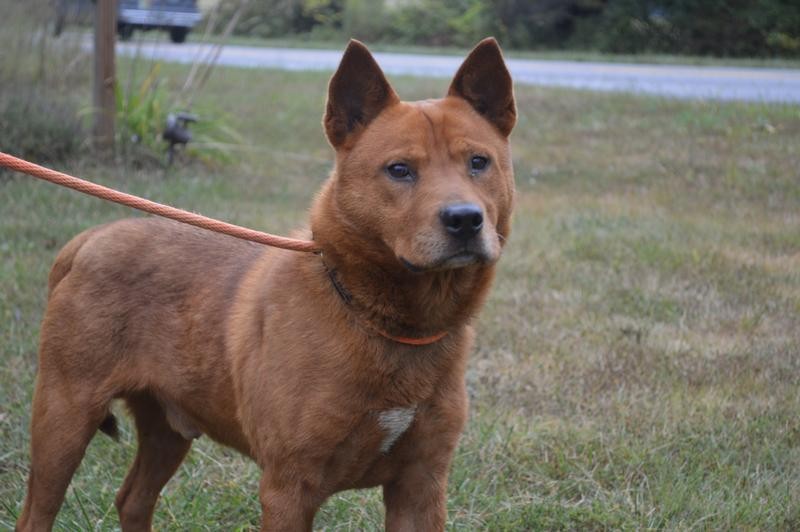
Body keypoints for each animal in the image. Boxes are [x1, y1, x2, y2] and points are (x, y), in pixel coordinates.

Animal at [18, 37, 520, 532]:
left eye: (479, 162)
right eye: (399, 170)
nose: (464, 220)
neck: (382, 322)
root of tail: (88, 240)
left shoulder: (421, 485)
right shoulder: (289, 488)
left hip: (166, 428)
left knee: (133, 500)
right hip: (63, 420)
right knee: (37, 513)